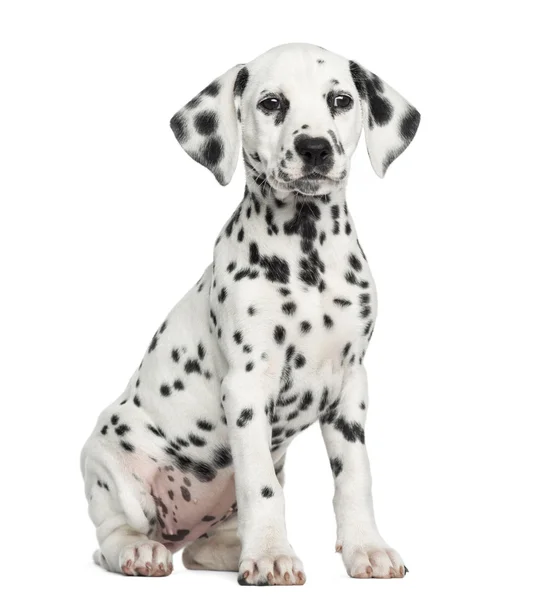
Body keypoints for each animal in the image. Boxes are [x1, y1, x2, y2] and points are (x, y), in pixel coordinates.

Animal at [81, 43, 420, 584]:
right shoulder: (247, 386)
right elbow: (261, 487)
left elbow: (355, 477)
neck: (307, 252)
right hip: (108, 466)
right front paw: (271, 556)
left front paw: (366, 548)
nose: (315, 149)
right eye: (271, 103)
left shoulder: (351, 386)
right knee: (111, 536)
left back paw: (229, 552)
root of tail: (176, 535)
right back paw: (142, 552)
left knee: (203, 550)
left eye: (341, 100)